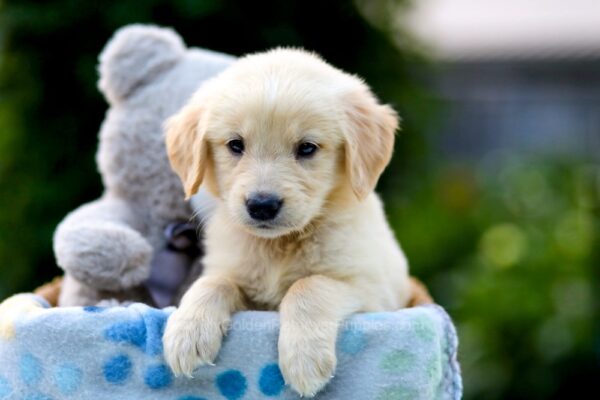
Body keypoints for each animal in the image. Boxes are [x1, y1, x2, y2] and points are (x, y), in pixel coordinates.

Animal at [162, 48, 410, 396]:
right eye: (235, 145)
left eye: (306, 148)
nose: (262, 205)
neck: (279, 245)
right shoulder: (235, 273)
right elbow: (213, 282)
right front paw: (188, 332)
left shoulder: (375, 292)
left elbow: (308, 285)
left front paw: (303, 359)